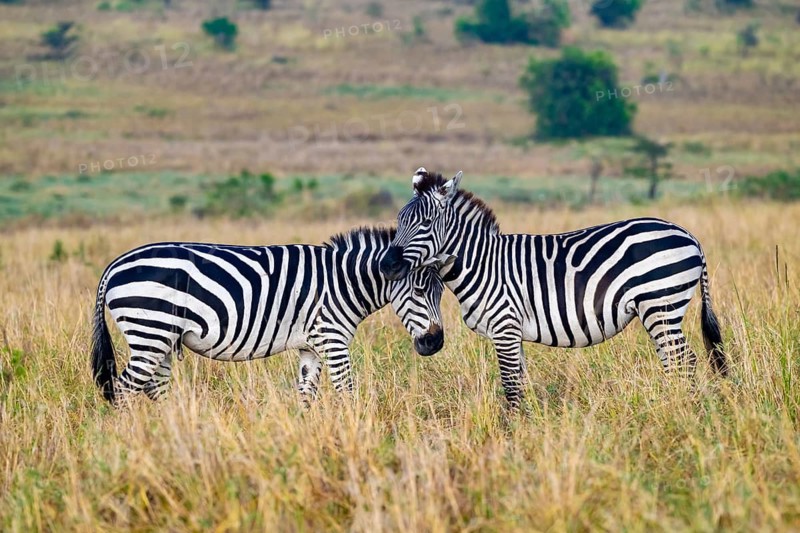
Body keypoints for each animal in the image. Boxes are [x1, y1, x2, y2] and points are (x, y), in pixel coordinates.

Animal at [91, 226, 446, 405]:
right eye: (418, 291)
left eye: (441, 292)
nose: (436, 344)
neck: (342, 281)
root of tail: (113, 265)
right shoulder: (332, 339)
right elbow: (346, 391)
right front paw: (354, 432)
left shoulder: (310, 346)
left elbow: (306, 395)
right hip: (150, 330)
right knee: (124, 389)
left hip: (160, 338)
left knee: (154, 388)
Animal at [379, 168, 728, 407]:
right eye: (399, 221)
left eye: (425, 224)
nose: (386, 265)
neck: (480, 263)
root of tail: (688, 235)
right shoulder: (512, 332)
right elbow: (520, 382)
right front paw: (528, 425)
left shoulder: (505, 327)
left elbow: (511, 386)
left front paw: (511, 436)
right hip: (658, 311)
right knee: (674, 360)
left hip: (660, 304)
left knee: (684, 360)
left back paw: (682, 408)